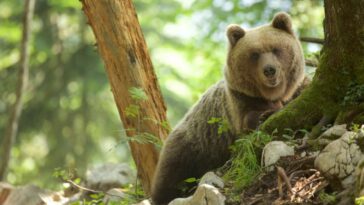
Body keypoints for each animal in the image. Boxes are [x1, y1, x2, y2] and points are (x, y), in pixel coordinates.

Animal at [151, 12, 304, 204]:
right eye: (254, 54)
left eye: (276, 49)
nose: (270, 70)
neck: (273, 95)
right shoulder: (240, 101)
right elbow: (248, 121)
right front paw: (264, 114)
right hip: (190, 149)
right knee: (169, 179)